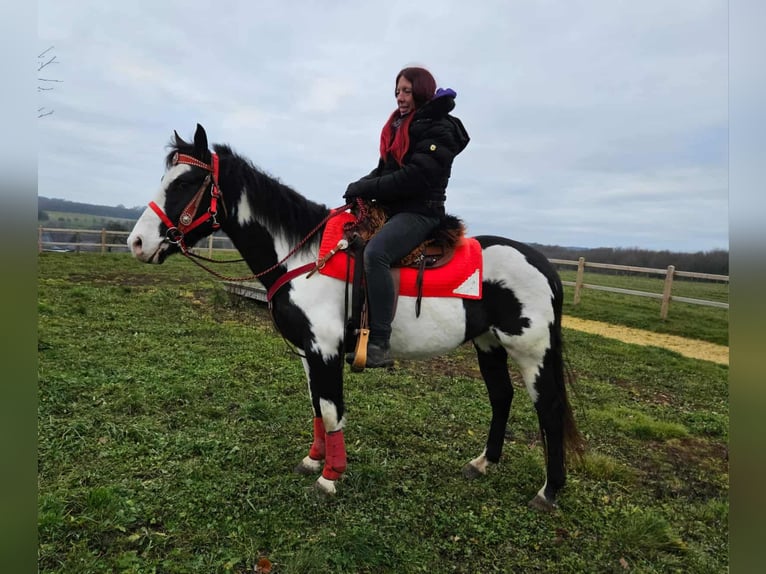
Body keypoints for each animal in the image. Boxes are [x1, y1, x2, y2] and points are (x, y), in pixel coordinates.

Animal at [127, 123, 584, 511]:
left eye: (185, 182)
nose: (137, 242)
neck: (305, 258)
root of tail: (545, 266)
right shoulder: (308, 352)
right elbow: (315, 406)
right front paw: (313, 461)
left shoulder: (326, 349)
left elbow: (331, 410)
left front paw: (330, 478)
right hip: (489, 343)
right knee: (501, 397)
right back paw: (483, 463)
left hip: (531, 351)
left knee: (549, 409)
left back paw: (548, 492)